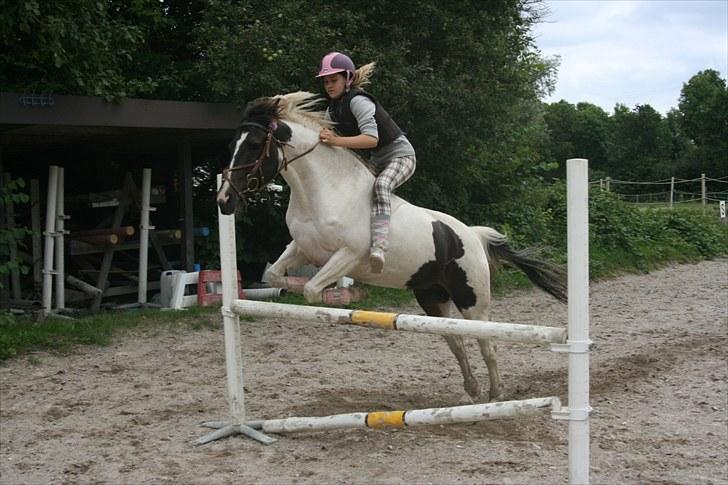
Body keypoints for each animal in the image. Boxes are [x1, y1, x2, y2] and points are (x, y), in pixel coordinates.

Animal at [216, 91, 568, 400]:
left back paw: (496, 394)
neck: (323, 189)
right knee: (455, 340)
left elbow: (313, 289)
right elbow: (275, 276)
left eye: (255, 145)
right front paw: (293, 289)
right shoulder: (302, 248)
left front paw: (339, 294)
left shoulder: (349, 255)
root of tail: (472, 236)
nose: (224, 201)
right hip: (432, 297)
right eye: (232, 144)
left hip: (473, 300)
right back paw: (472, 390)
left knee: (487, 344)